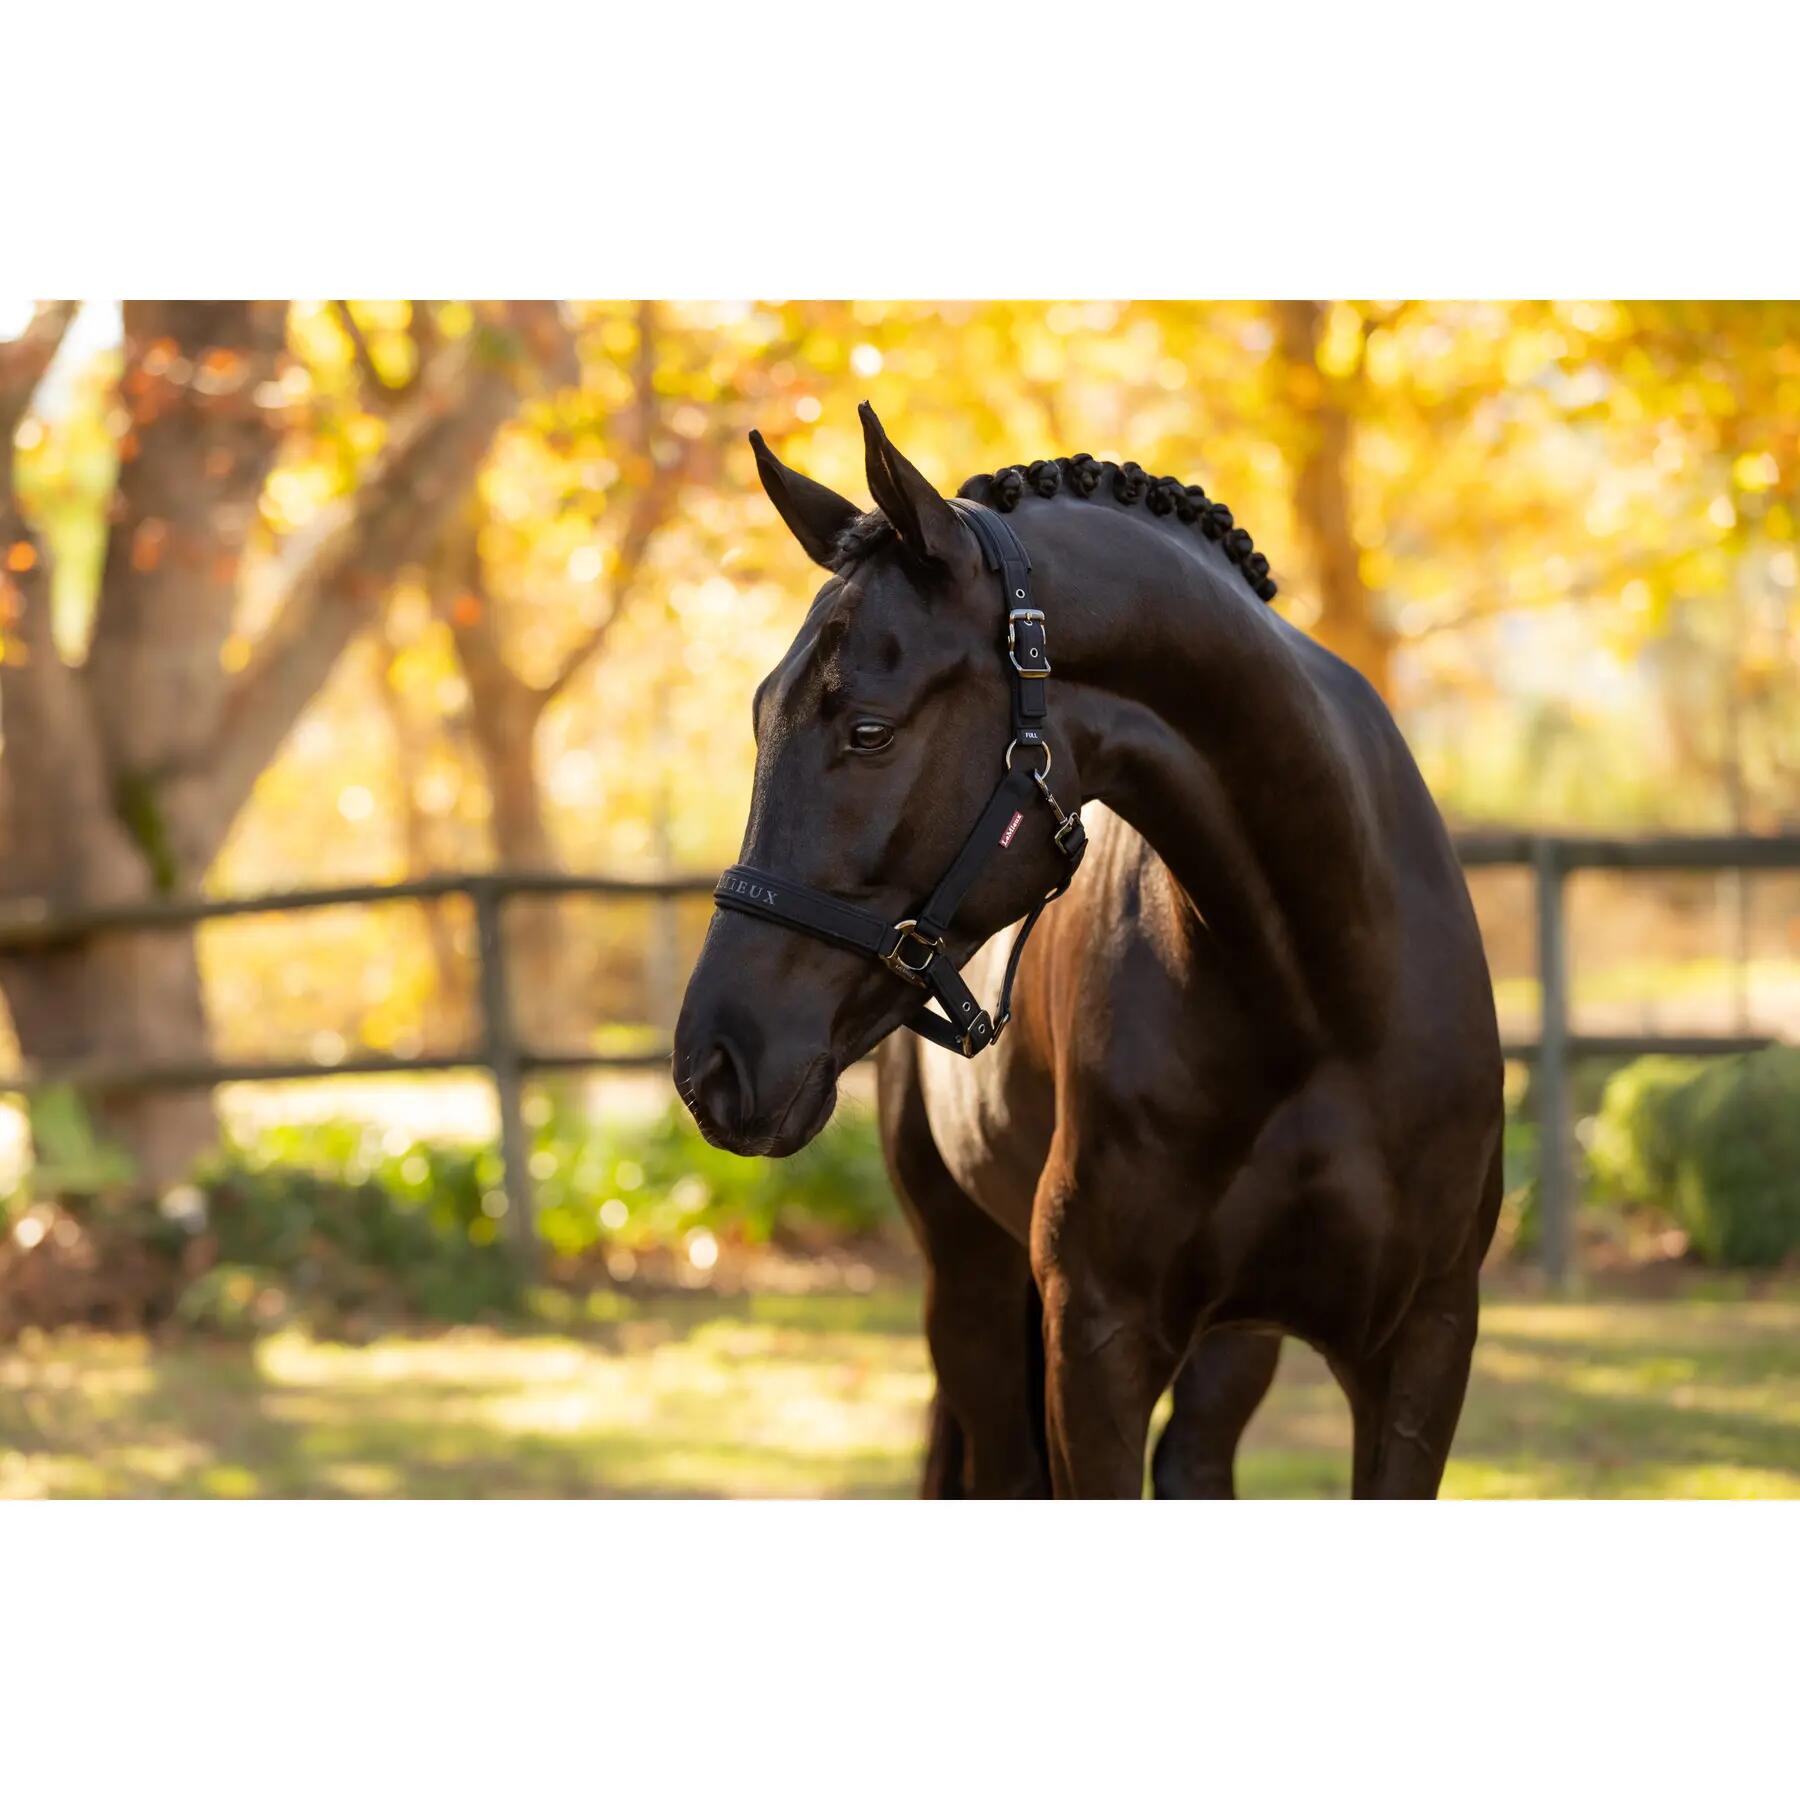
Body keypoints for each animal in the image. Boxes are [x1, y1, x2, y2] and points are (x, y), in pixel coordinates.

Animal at [675, 403, 1504, 1499]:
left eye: (869, 730)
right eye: (762, 715)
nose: (712, 1063)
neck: (1324, 1004)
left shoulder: (1422, 1346)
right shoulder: (1097, 1343)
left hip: (1230, 1342)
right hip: (971, 1292)